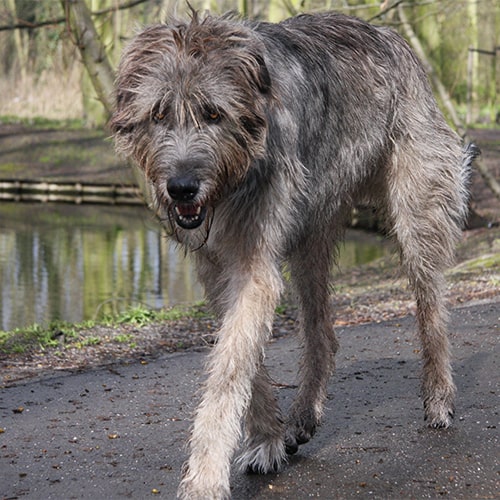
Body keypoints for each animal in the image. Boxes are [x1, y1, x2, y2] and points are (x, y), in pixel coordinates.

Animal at [111, 9, 478, 498]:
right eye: (158, 113)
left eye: (213, 113)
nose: (182, 188)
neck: (237, 174)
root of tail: (393, 38)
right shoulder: (218, 267)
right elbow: (245, 359)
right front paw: (267, 438)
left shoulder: (254, 265)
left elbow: (229, 371)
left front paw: (205, 478)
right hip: (312, 231)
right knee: (322, 329)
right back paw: (303, 415)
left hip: (417, 211)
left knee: (431, 306)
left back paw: (438, 397)